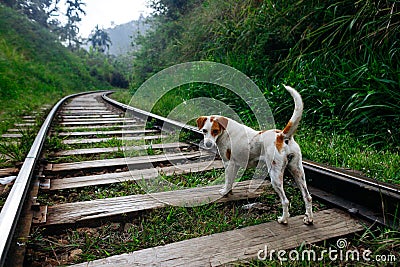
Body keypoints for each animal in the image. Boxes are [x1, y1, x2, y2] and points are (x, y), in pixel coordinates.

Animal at [196, 86, 312, 226]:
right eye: (204, 131)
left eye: (215, 131)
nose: (208, 144)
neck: (225, 131)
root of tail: (281, 136)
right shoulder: (235, 166)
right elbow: (231, 181)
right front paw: (229, 192)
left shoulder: (228, 163)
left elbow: (228, 181)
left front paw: (224, 192)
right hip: (298, 171)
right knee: (307, 197)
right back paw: (309, 218)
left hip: (275, 176)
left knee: (285, 201)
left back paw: (283, 219)